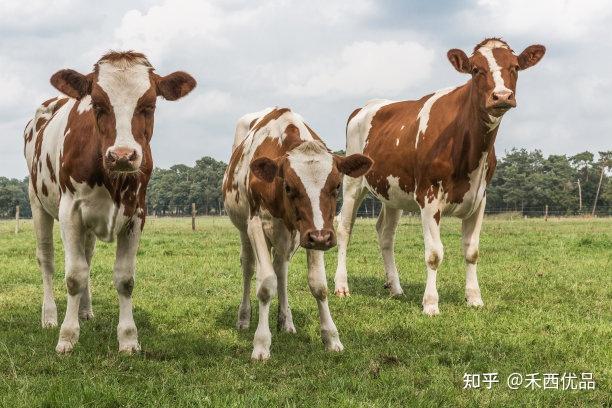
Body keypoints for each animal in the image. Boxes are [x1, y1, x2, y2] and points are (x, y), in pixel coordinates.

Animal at [23, 51, 196, 354]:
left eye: (149, 105)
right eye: (98, 104)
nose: (123, 155)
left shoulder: (137, 213)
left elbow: (124, 278)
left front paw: (128, 338)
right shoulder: (70, 212)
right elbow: (74, 276)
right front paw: (67, 336)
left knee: (87, 256)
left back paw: (85, 310)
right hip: (37, 204)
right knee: (47, 259)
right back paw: (49, 316)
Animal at [222, 108, 370, 360]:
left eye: (336, 186)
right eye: (289, 187)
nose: (321, 237)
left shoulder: (314, 232)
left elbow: (318, 285)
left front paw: (331, 337)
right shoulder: (256, 225)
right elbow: (266, 284)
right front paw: (261, 344)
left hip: (288, 237)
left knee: (281, 270)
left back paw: (286, 322)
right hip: (244, 229)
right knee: (249, 267)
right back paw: (244, 318)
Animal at [332, 38, 548, 316]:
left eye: (516, 67)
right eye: (476, 70)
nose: (501, 96)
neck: (468, 150)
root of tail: (367, 105)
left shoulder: (480, 198)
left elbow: (472, 251)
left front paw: (474, 298)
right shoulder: (428, 197)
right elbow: (434, 254)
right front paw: (431, 303)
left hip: (392, 192)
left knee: (386, 233)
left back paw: (395, 287)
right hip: (353, 183)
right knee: (344, 227)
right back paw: (341, 286)